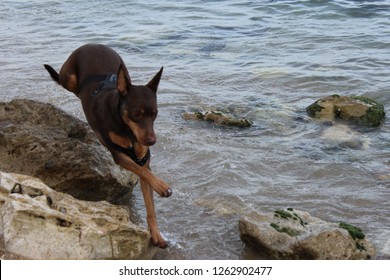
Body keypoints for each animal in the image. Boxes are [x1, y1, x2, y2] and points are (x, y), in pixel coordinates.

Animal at [43, 43, 171, 247]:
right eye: (136, 114)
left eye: (155, 113)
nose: (152, 140)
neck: (126, 127)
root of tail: (91, 44)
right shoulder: (118, 154)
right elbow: (141, 171)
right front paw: (162, 186)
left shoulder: (143, 159)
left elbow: (149, 198)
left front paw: (156, 235)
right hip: (69, 77)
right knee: (63, 81)